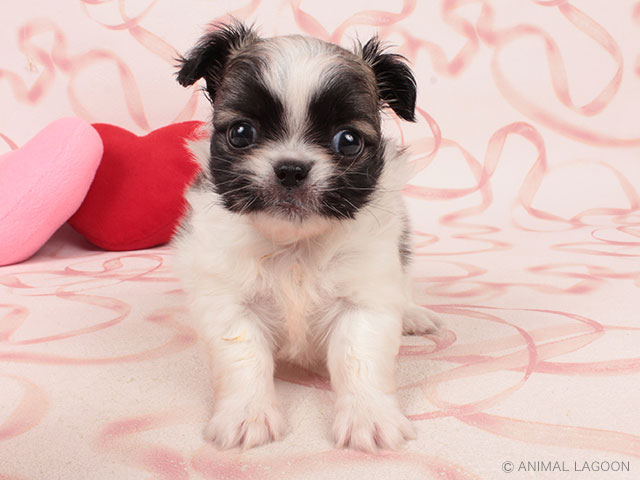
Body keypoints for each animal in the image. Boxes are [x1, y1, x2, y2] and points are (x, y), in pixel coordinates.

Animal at [171, 21, 440, 450]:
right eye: (241, 133)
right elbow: (242, 359)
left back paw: (414, 314)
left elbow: (360, 358)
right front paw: (246, 416)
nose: (291, 169)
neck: (294, 245)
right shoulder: (229, 302)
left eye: (348, 141)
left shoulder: (364, 298)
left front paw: (370, 418)